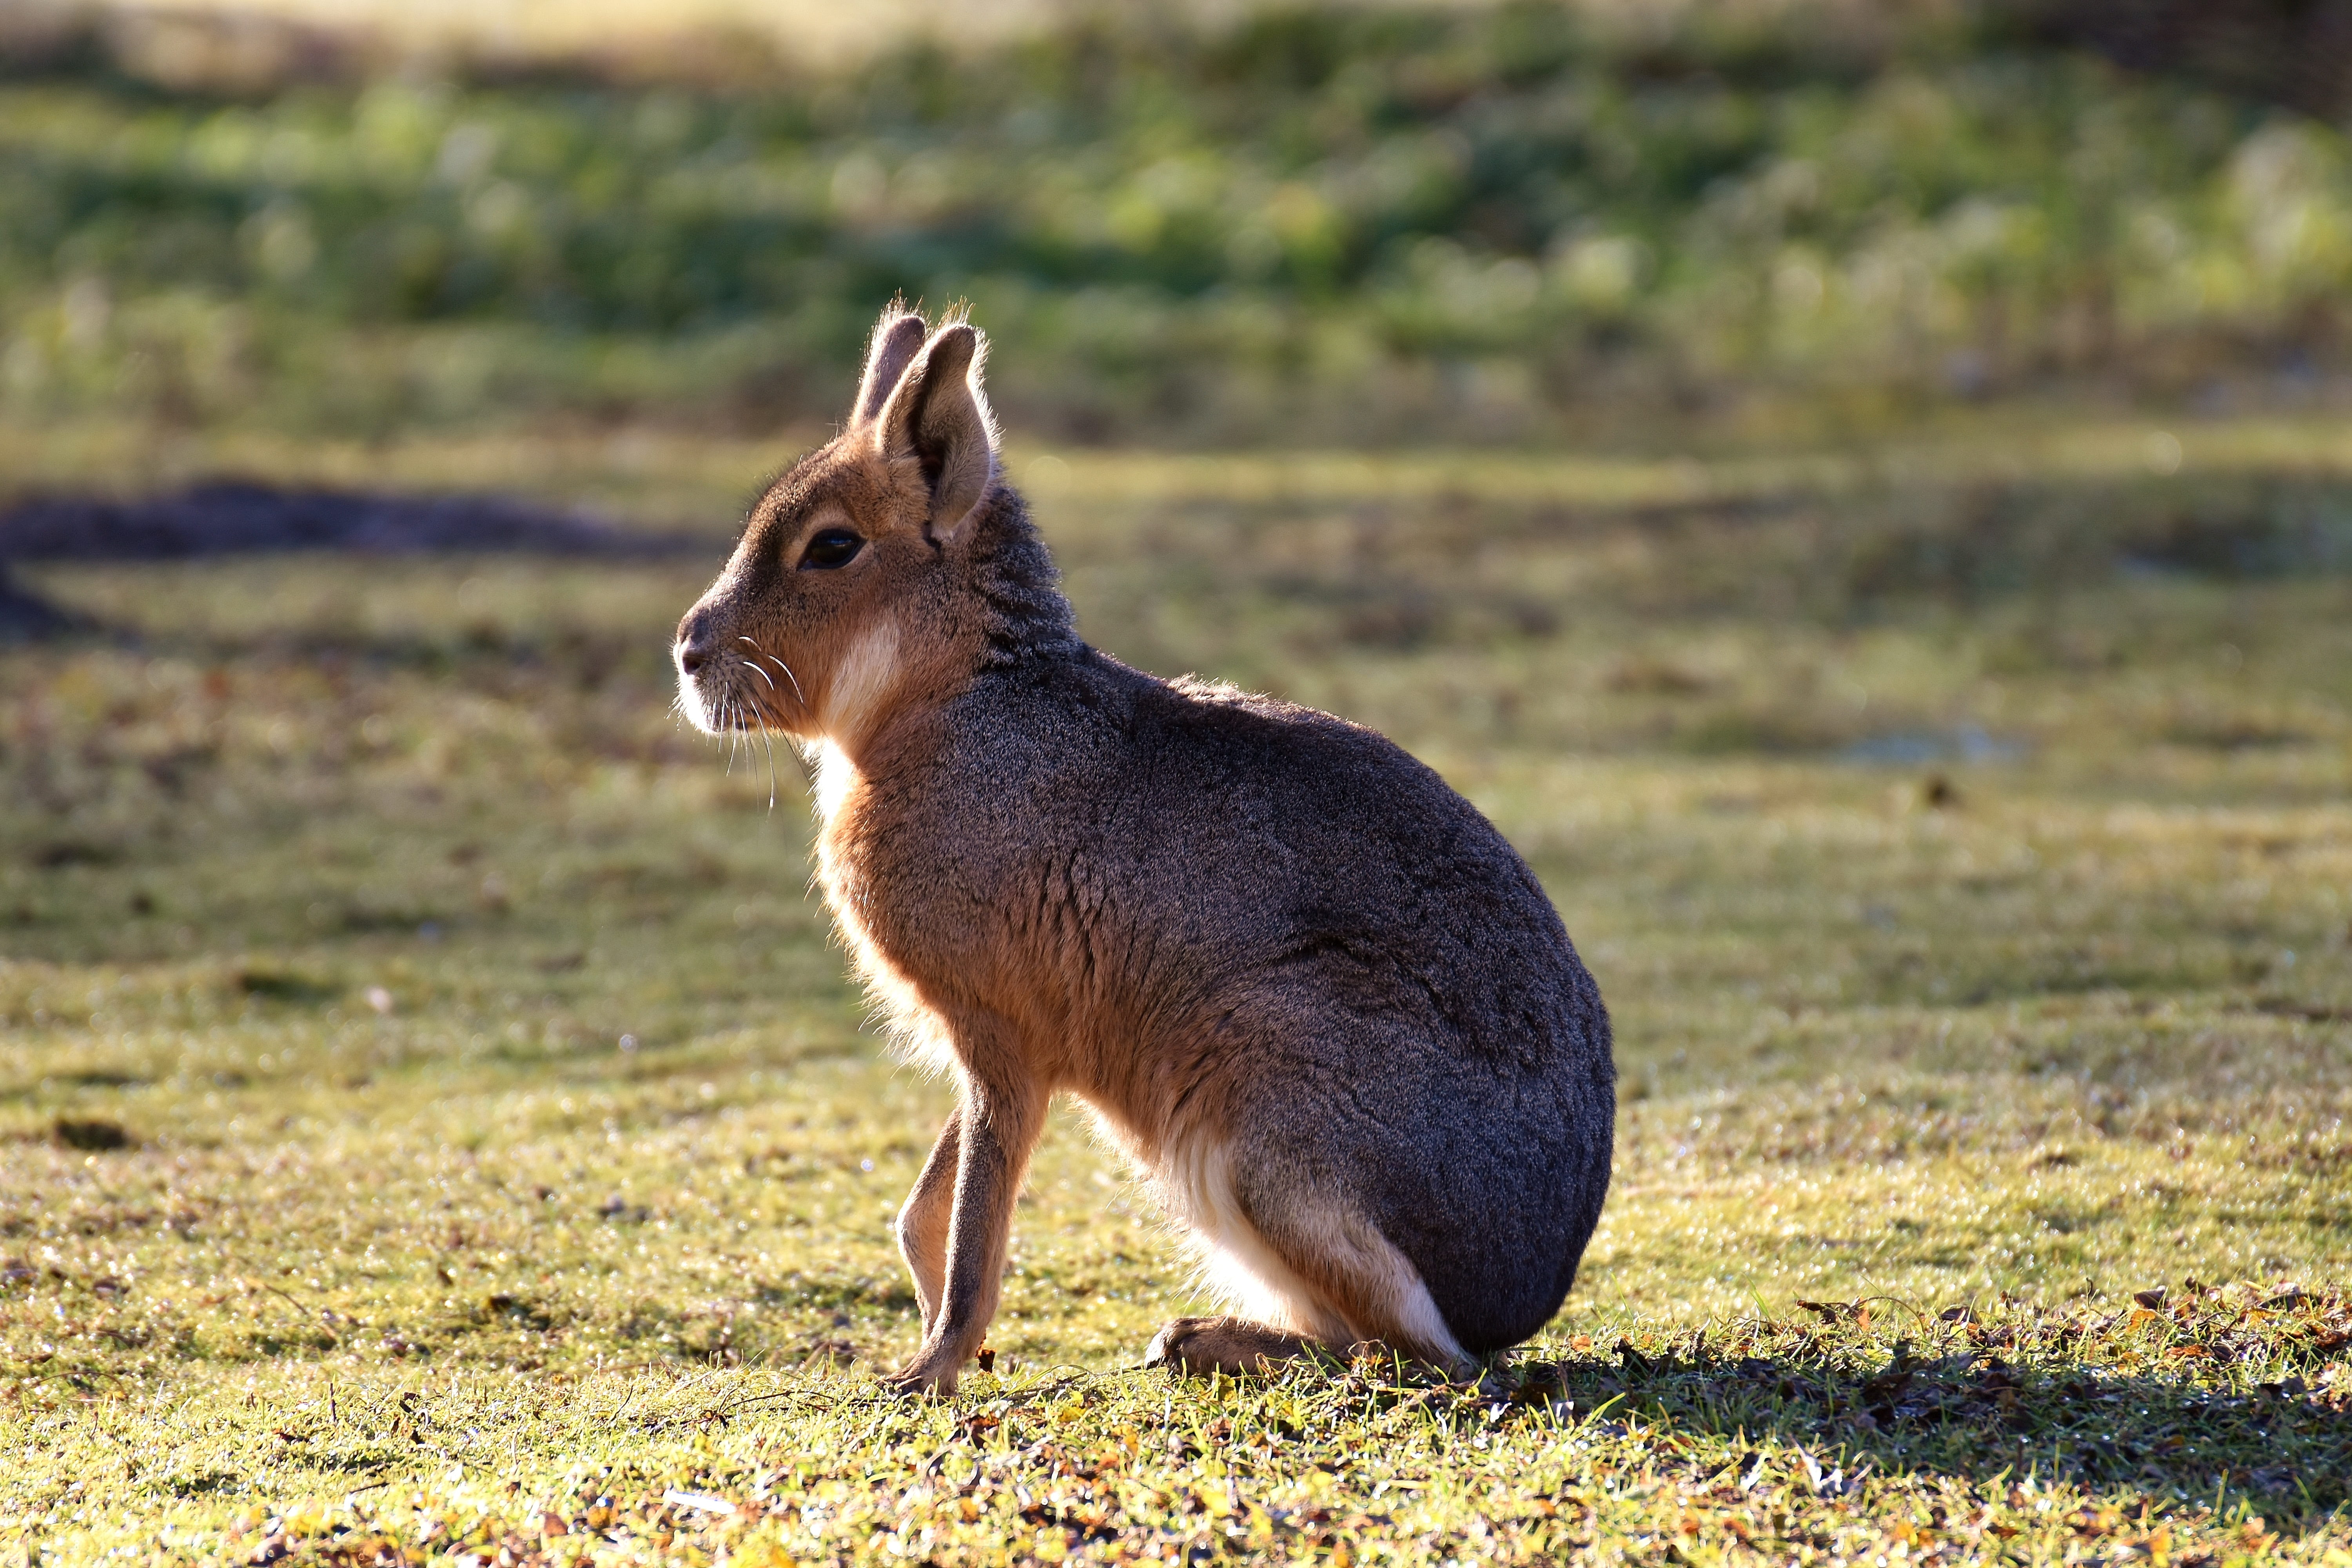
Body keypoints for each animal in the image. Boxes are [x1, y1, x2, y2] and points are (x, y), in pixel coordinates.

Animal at [673, 304, 1615, 1394]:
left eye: (832, 546)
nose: (688, 652)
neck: (952, 704)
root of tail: (1522, 1291)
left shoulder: (1002, 1040)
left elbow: (975, 1227)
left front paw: (927, 1373)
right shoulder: (995, 1043)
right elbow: (923, 1209)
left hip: (1265, 1110)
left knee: (1425, 1355)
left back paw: (1200, 1340)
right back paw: (1198, 1337)